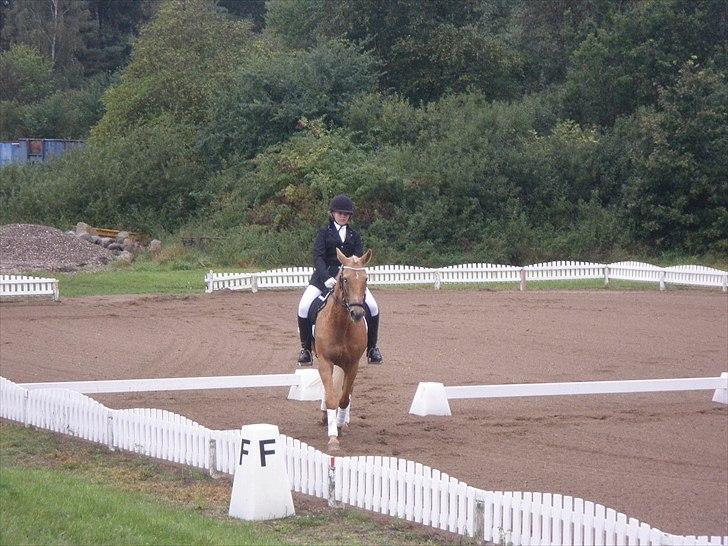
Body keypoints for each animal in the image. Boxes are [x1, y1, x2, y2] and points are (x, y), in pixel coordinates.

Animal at [312, 244, 372, 448]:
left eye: (365, 279)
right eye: (344, 279)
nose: (357, 313)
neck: (340, 325)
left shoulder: (353, 364)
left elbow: (344, 398)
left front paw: (338, 425)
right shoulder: (325, 362)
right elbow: (331, 397)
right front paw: (332, 437)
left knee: (347, 391)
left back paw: (343, 421)